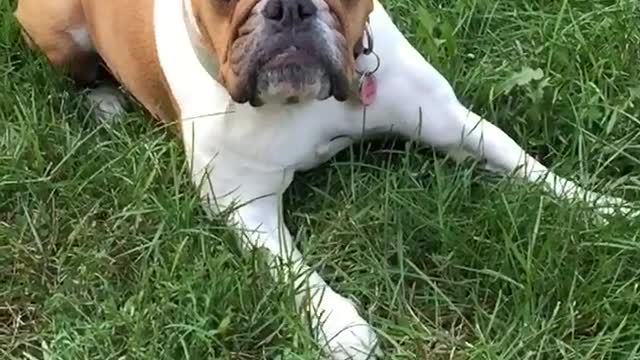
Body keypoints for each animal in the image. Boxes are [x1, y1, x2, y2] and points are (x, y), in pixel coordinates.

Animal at [13, 0, 636, 356]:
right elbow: (292, 269)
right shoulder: (245, 207)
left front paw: (608, 209)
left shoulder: (454, 125)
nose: (290, 6)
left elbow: (531, 168)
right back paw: (103, 103)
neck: (303, 102)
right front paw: (340, 326)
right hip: (56, 26)